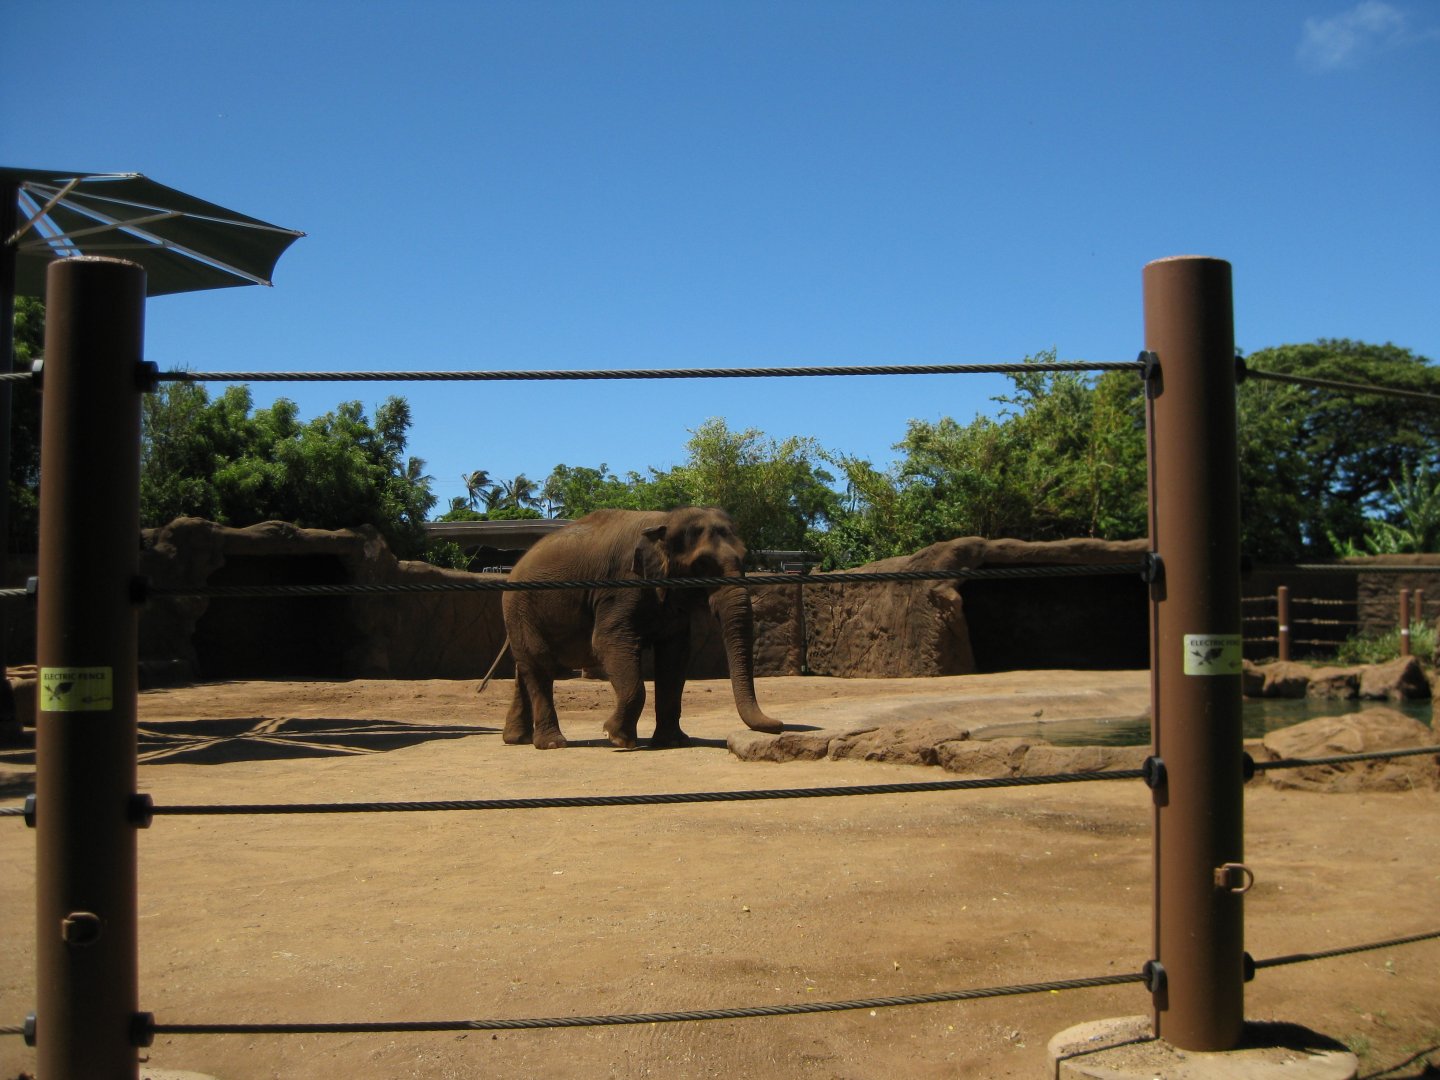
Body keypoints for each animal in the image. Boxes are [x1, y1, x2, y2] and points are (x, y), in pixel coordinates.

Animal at [500, 506, 784, 749]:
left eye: (745, 558)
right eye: (702, 563)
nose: (779, 725)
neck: (666, 521)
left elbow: (674, 654)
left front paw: (673, 742)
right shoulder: (620, 587)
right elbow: (608, 643)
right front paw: (616, 737)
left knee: (525, 667)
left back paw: (517, 739)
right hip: (520, 608)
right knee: (539, 664)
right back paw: (552, 743)